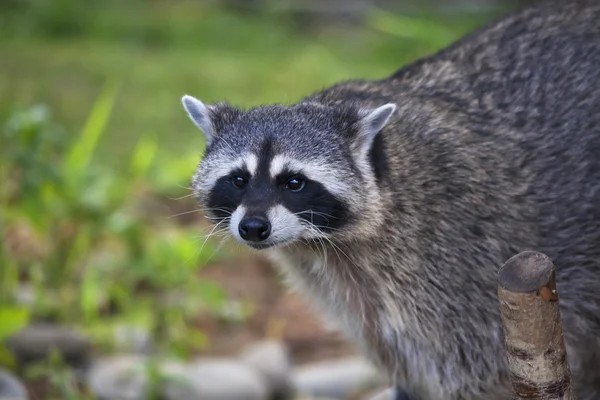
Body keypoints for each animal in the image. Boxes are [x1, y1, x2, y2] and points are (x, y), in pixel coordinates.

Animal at [180, 1, 600, 398]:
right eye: (238, 180)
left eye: (294, 183)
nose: (253, 227)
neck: (323, 245)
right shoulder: (356, 294)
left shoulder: (457, 262)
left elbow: (472, 373)